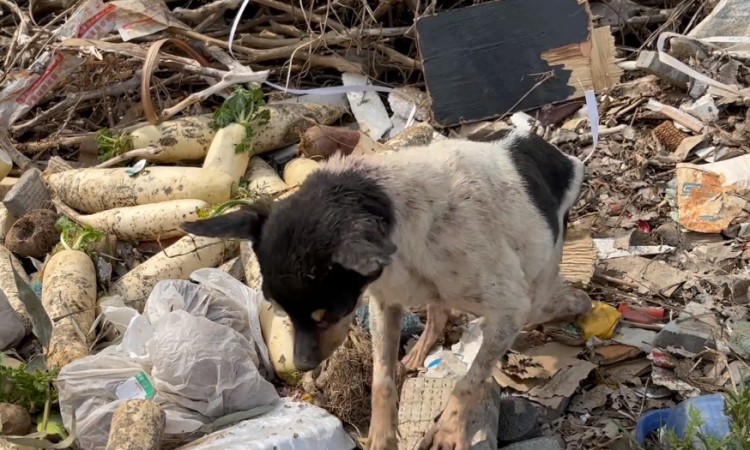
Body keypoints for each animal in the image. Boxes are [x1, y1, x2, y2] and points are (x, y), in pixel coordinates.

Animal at [184, 129, 592, 450]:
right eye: (279, 311)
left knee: (554, 297)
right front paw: (382, 435)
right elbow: (381, 380)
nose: (300, 366)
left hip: (540, 270)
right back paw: (421, 348)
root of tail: (548, 148)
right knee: (439, 309)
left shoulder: (509, 309)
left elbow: (469, 381)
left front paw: (449, 429)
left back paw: (573, 304)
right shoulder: (386, 301)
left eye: (327, 315)